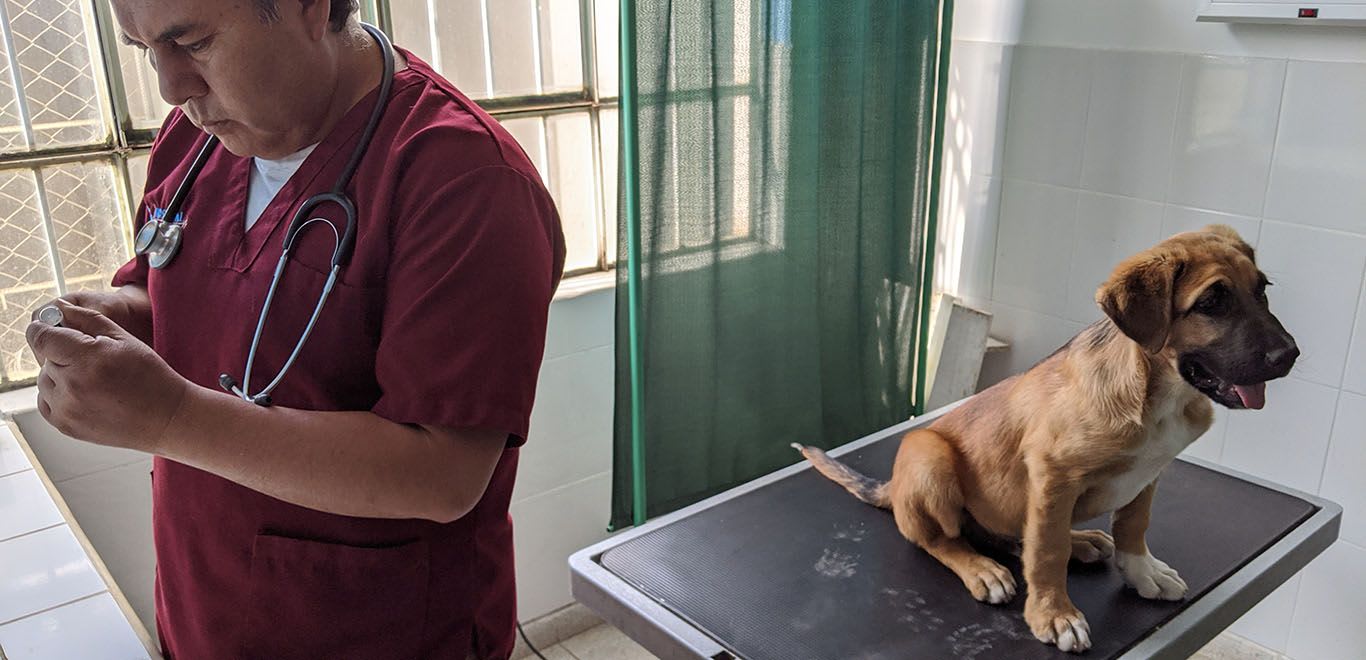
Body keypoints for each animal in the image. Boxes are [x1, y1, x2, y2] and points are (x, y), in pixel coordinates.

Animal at [792, 224, 1289, 653]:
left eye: (1262, 290)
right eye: (1211, 303)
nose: (1289, 355)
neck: (1158, 392)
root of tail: (892, 488)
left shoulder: (1149, 475)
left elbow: (1132, 524)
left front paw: (1141, 571)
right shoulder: (1054, 474)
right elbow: (1047, 552)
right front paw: (1054, 615)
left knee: (1016, 534)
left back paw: (1082, 540)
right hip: (927, 455)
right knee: (938, 538)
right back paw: (983, 569)